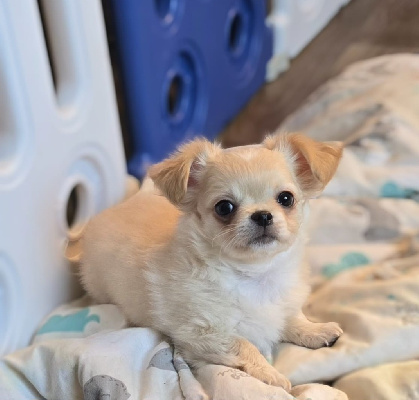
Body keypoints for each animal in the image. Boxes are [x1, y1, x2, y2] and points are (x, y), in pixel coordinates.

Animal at [79, 132, 343, 391]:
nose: (262, 215)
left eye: (286, 199)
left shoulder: (282, 305)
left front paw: (316, 330)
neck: (256, 274)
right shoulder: (201, 334)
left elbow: (292, 318)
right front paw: (270, 375)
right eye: (224, 207)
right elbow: (244, 344)